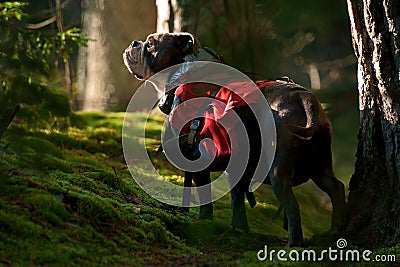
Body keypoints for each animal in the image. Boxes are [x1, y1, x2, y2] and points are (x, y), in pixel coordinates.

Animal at [123, 31, 346, 247]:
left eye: (151, 44)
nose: (134, 43)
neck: (185, 72)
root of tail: (302, 98)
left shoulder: (196, 160)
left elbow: (205, 197)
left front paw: (203, 220)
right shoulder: (237, 167)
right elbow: (237, 200)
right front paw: (239, 229)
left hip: (278, 171)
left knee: (292, 206)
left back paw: (293, 243)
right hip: (320, 165)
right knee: (336, 188)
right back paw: (336, 231)